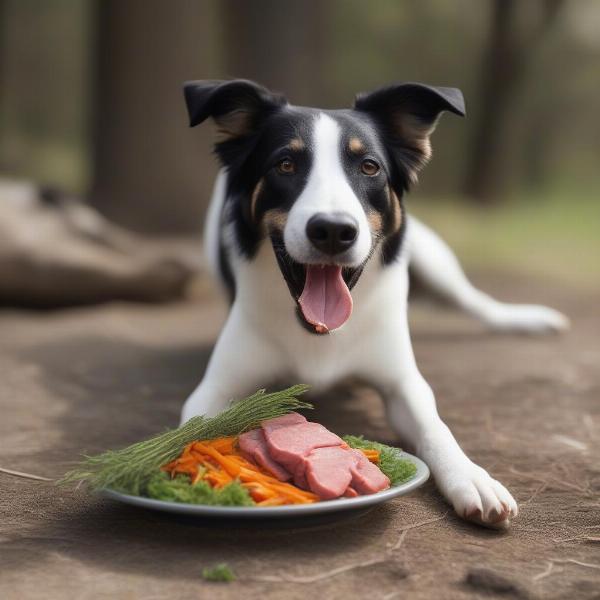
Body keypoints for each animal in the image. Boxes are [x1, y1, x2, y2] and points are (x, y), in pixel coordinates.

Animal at [178, 78, 568, 524]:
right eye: (285, 165)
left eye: (369, 167)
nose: (332, 230)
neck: (317, 332)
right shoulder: (215, 388)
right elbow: (196, 430)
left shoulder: (403, 383)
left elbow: (436, 428)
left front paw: (471, 477)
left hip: (432, 256)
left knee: (475, 300)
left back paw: (527, 318)